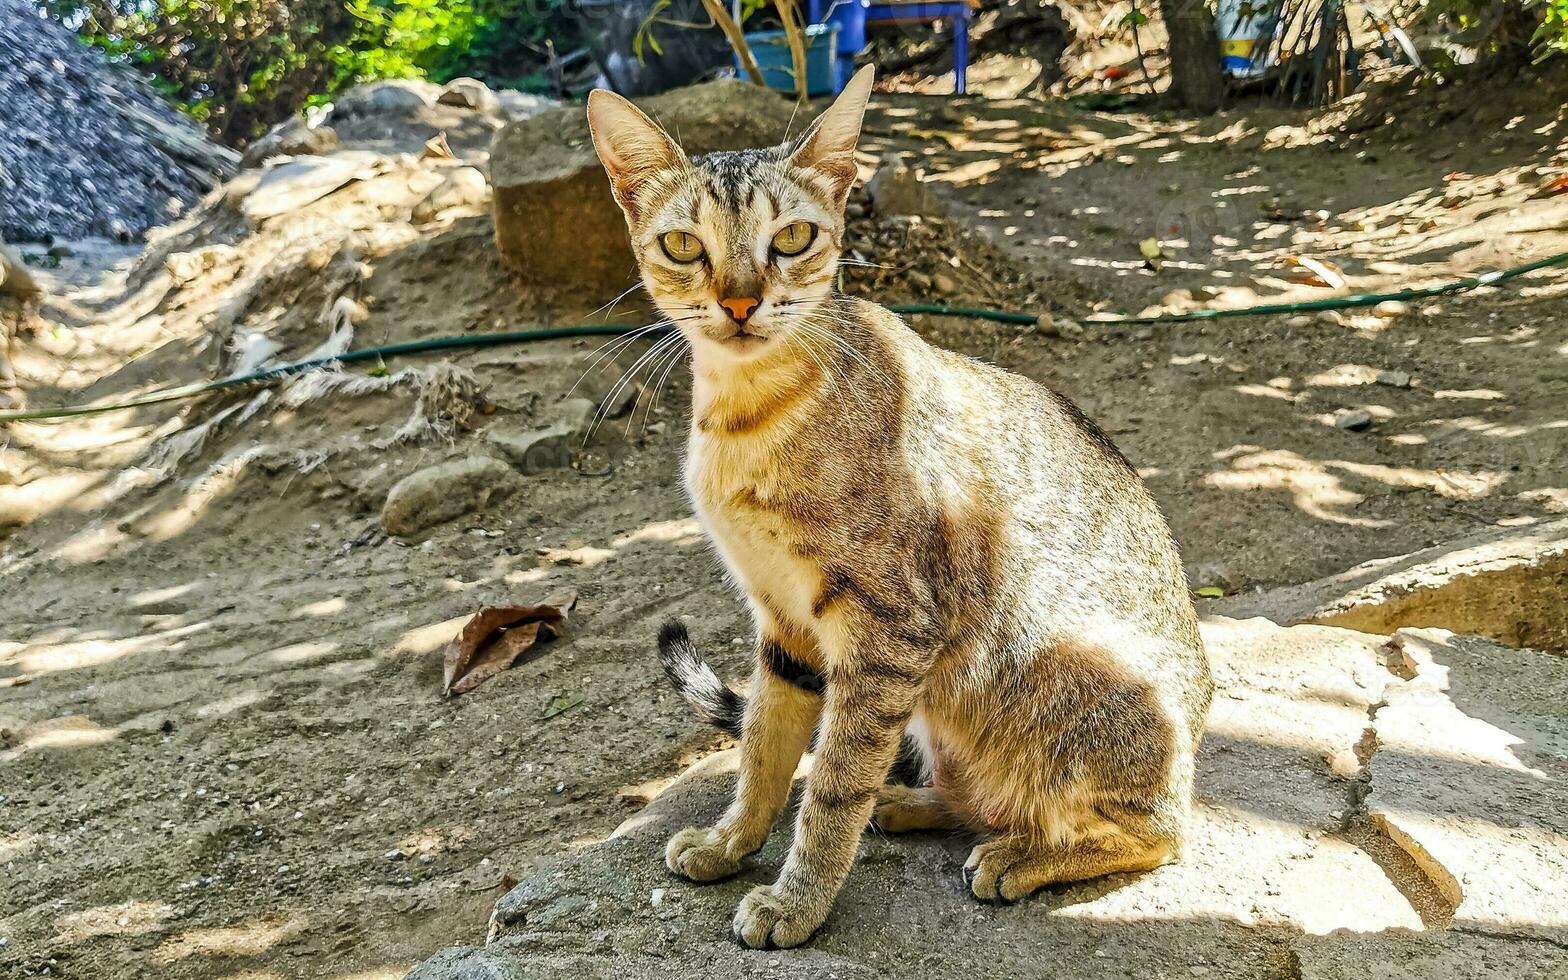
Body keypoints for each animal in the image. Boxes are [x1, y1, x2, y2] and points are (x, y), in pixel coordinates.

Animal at [589, 68, 1210, 947]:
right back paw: (919, 804)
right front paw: (730, 840)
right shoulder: (782, 621)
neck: (744, 418)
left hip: (1087, 687)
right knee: (969, 795)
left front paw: (796, 901)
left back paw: (1021, 856)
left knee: (1157, 832)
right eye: (684, 245)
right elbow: (764, 748)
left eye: (792, 238)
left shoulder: (888, 628)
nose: (741, 304)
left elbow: (831, 783)